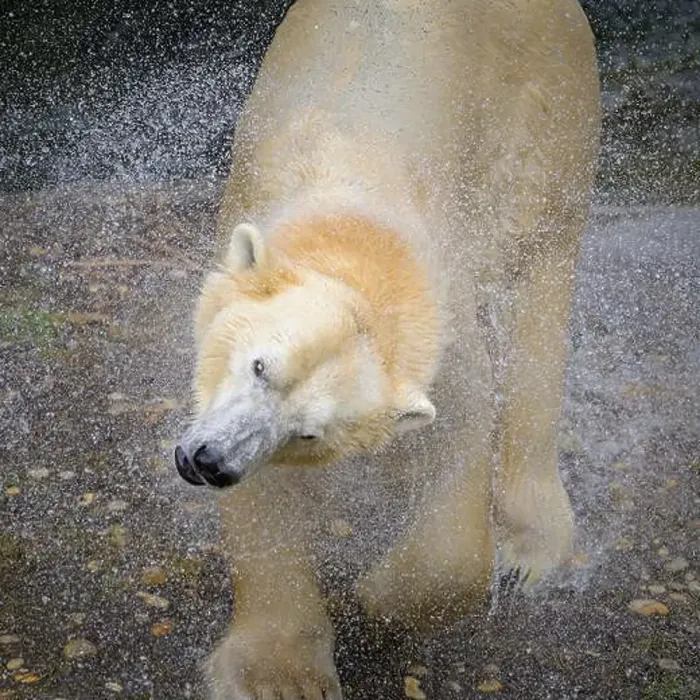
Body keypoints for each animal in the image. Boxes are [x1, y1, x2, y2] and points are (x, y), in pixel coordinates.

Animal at [174, 0, 600, 697]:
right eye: (259, 366)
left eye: (311, 432)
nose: (210, 464)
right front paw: (281, 677)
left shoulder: (439, 333)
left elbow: (457, 453)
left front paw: (371, 598)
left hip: (549, 105)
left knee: (538, 278)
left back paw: (529, 549)